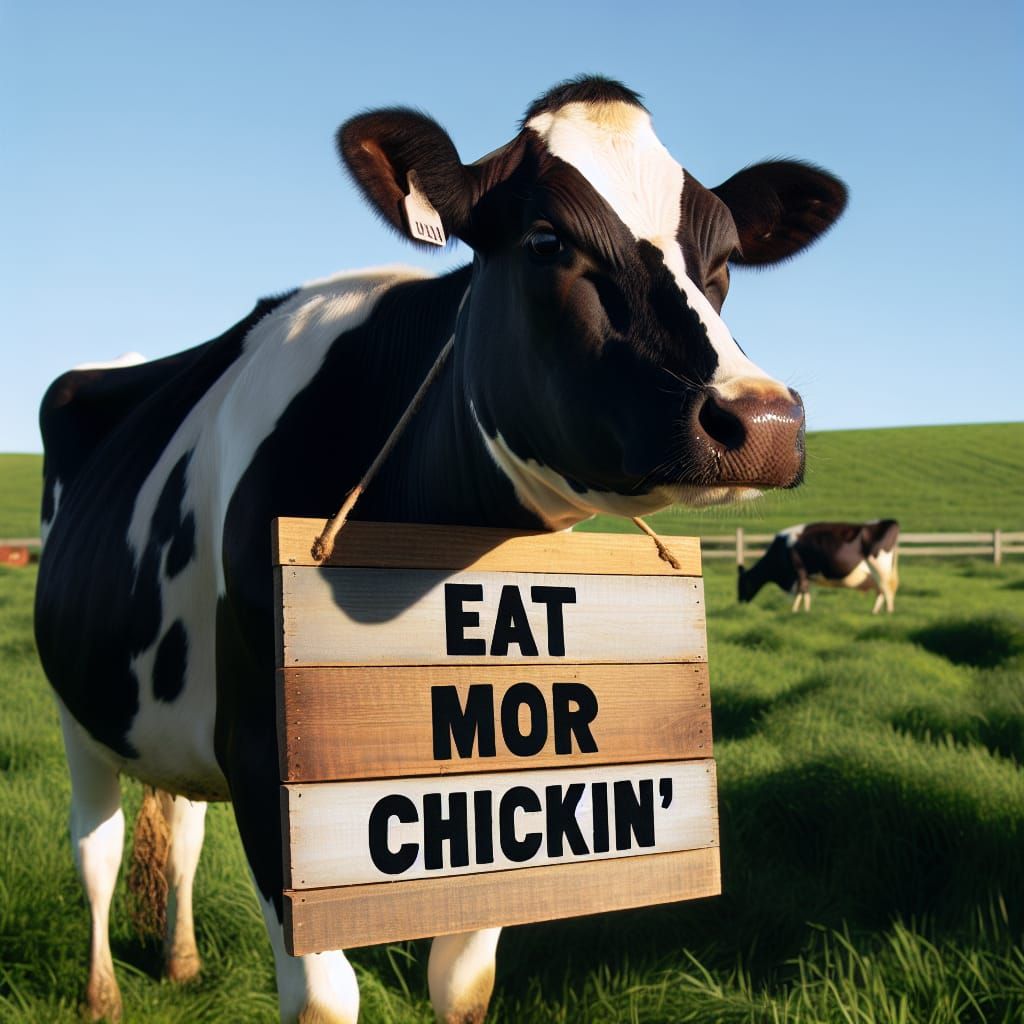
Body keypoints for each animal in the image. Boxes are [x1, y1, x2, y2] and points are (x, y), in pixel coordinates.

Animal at [34, 76, 847, 1023]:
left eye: (722, 265)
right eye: (545, 240)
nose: (763, 419)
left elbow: (464, 980)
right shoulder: (268, 762)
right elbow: (325, 996)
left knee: (183, 827)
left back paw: (183, 962)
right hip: (76, 710)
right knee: (95, 847)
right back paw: (102, 994)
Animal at [737, 520, 900, 613]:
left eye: (741, 583)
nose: (739, 603)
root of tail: (889, 522)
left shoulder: (799, 570)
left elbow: (801, 591)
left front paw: (795, 610)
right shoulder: (806, 575)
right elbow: (806, 592)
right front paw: (804, 610)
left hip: (880, 567)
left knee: (887, 587)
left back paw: (888, 612)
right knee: (881, 590)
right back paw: (876, 611)